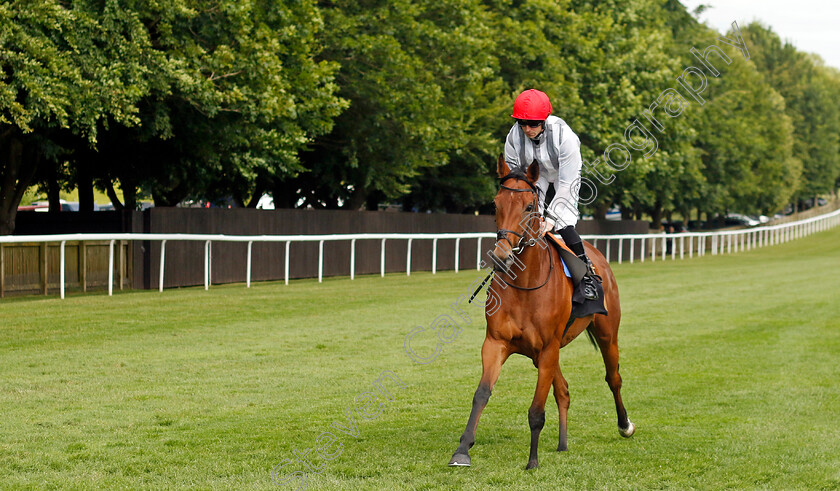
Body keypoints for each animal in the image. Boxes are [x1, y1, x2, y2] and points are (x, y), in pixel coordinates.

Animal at [450, 156, 632, 470]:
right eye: (495, 205)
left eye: (528, 207)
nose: (501, 257)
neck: (526, 286)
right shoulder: (496, 343)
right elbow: (481, 394)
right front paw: (462, 449)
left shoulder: (548, 349)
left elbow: (536, 410)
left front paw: (532, 460)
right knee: (564, 391)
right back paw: (562, 443)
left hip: (606, 334)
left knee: (613, 378)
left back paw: (624, 425)